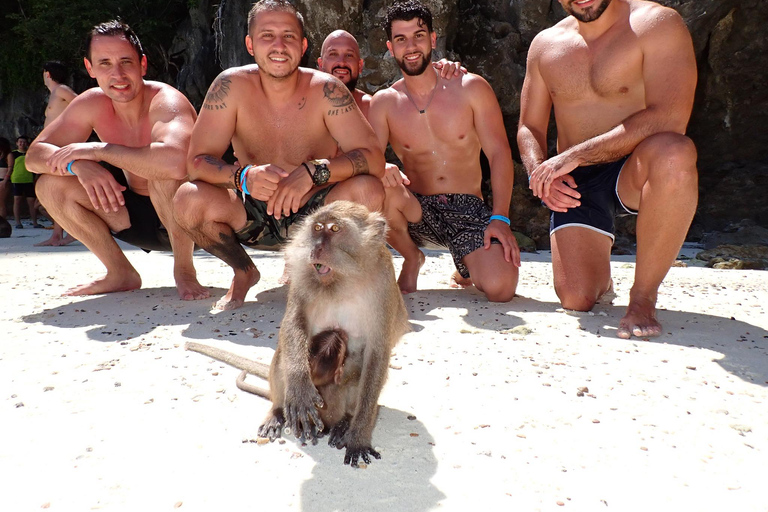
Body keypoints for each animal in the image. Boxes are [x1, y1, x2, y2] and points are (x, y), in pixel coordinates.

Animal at [185, 201, 408, 468]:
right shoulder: (302, 273)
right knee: (285, 352)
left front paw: (358, 436)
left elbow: (376, 353)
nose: (316, 248)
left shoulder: (384, 284)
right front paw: (300, 388)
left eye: (335, 229)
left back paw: (345, 421)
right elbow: (295, 320)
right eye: (318, 228)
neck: (344, 279)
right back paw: (278, 410)